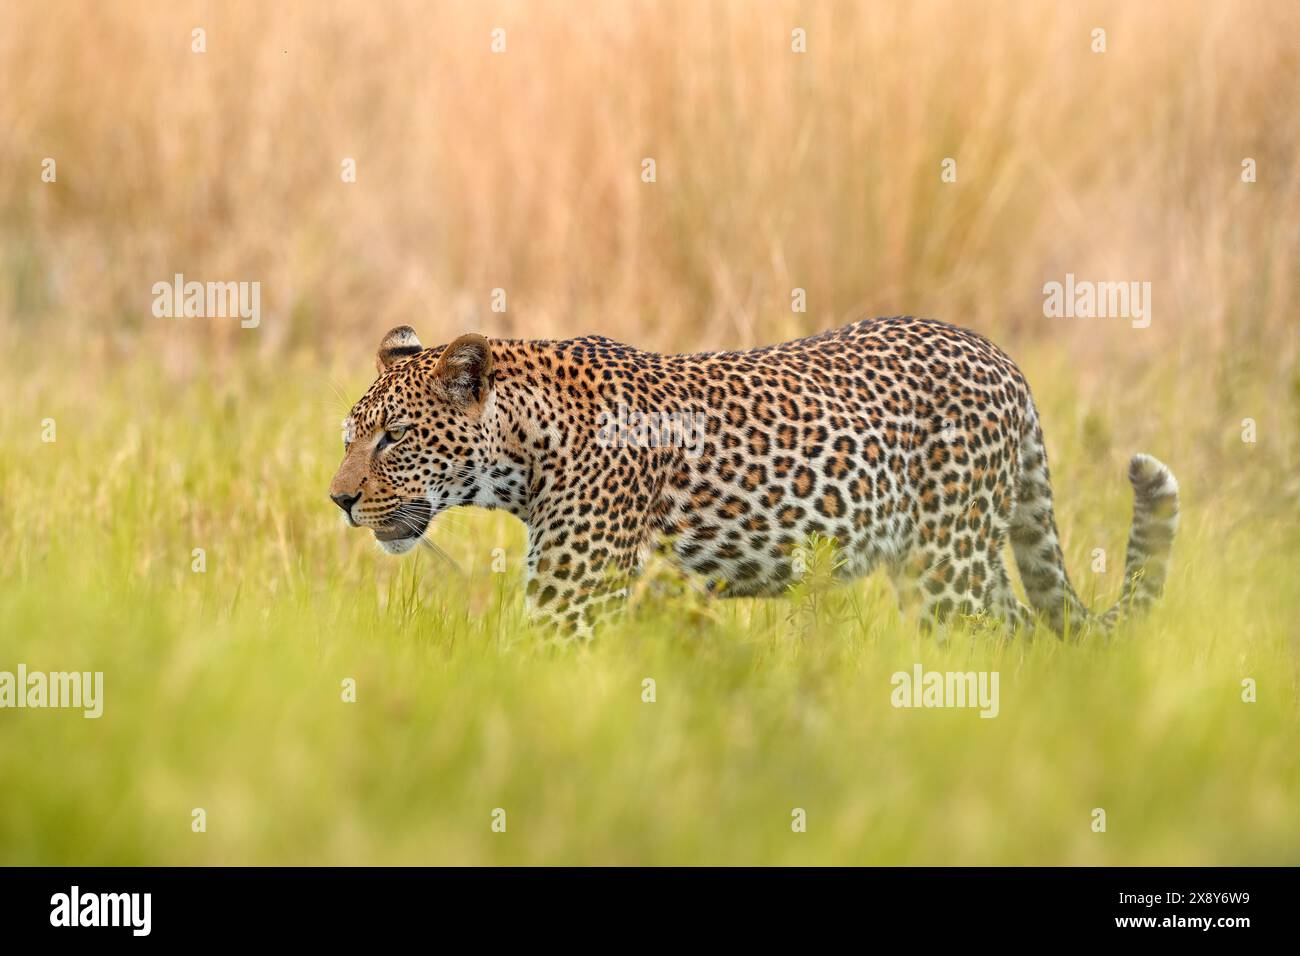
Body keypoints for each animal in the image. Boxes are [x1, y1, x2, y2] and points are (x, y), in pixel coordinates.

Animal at [329, 317, 1179, 638]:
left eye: (394, 438)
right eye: (350, 437)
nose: (339, 500)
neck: (523, 450)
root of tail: (1002, 358)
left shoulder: (573, 600)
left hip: (950, 566)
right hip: (949, 560)